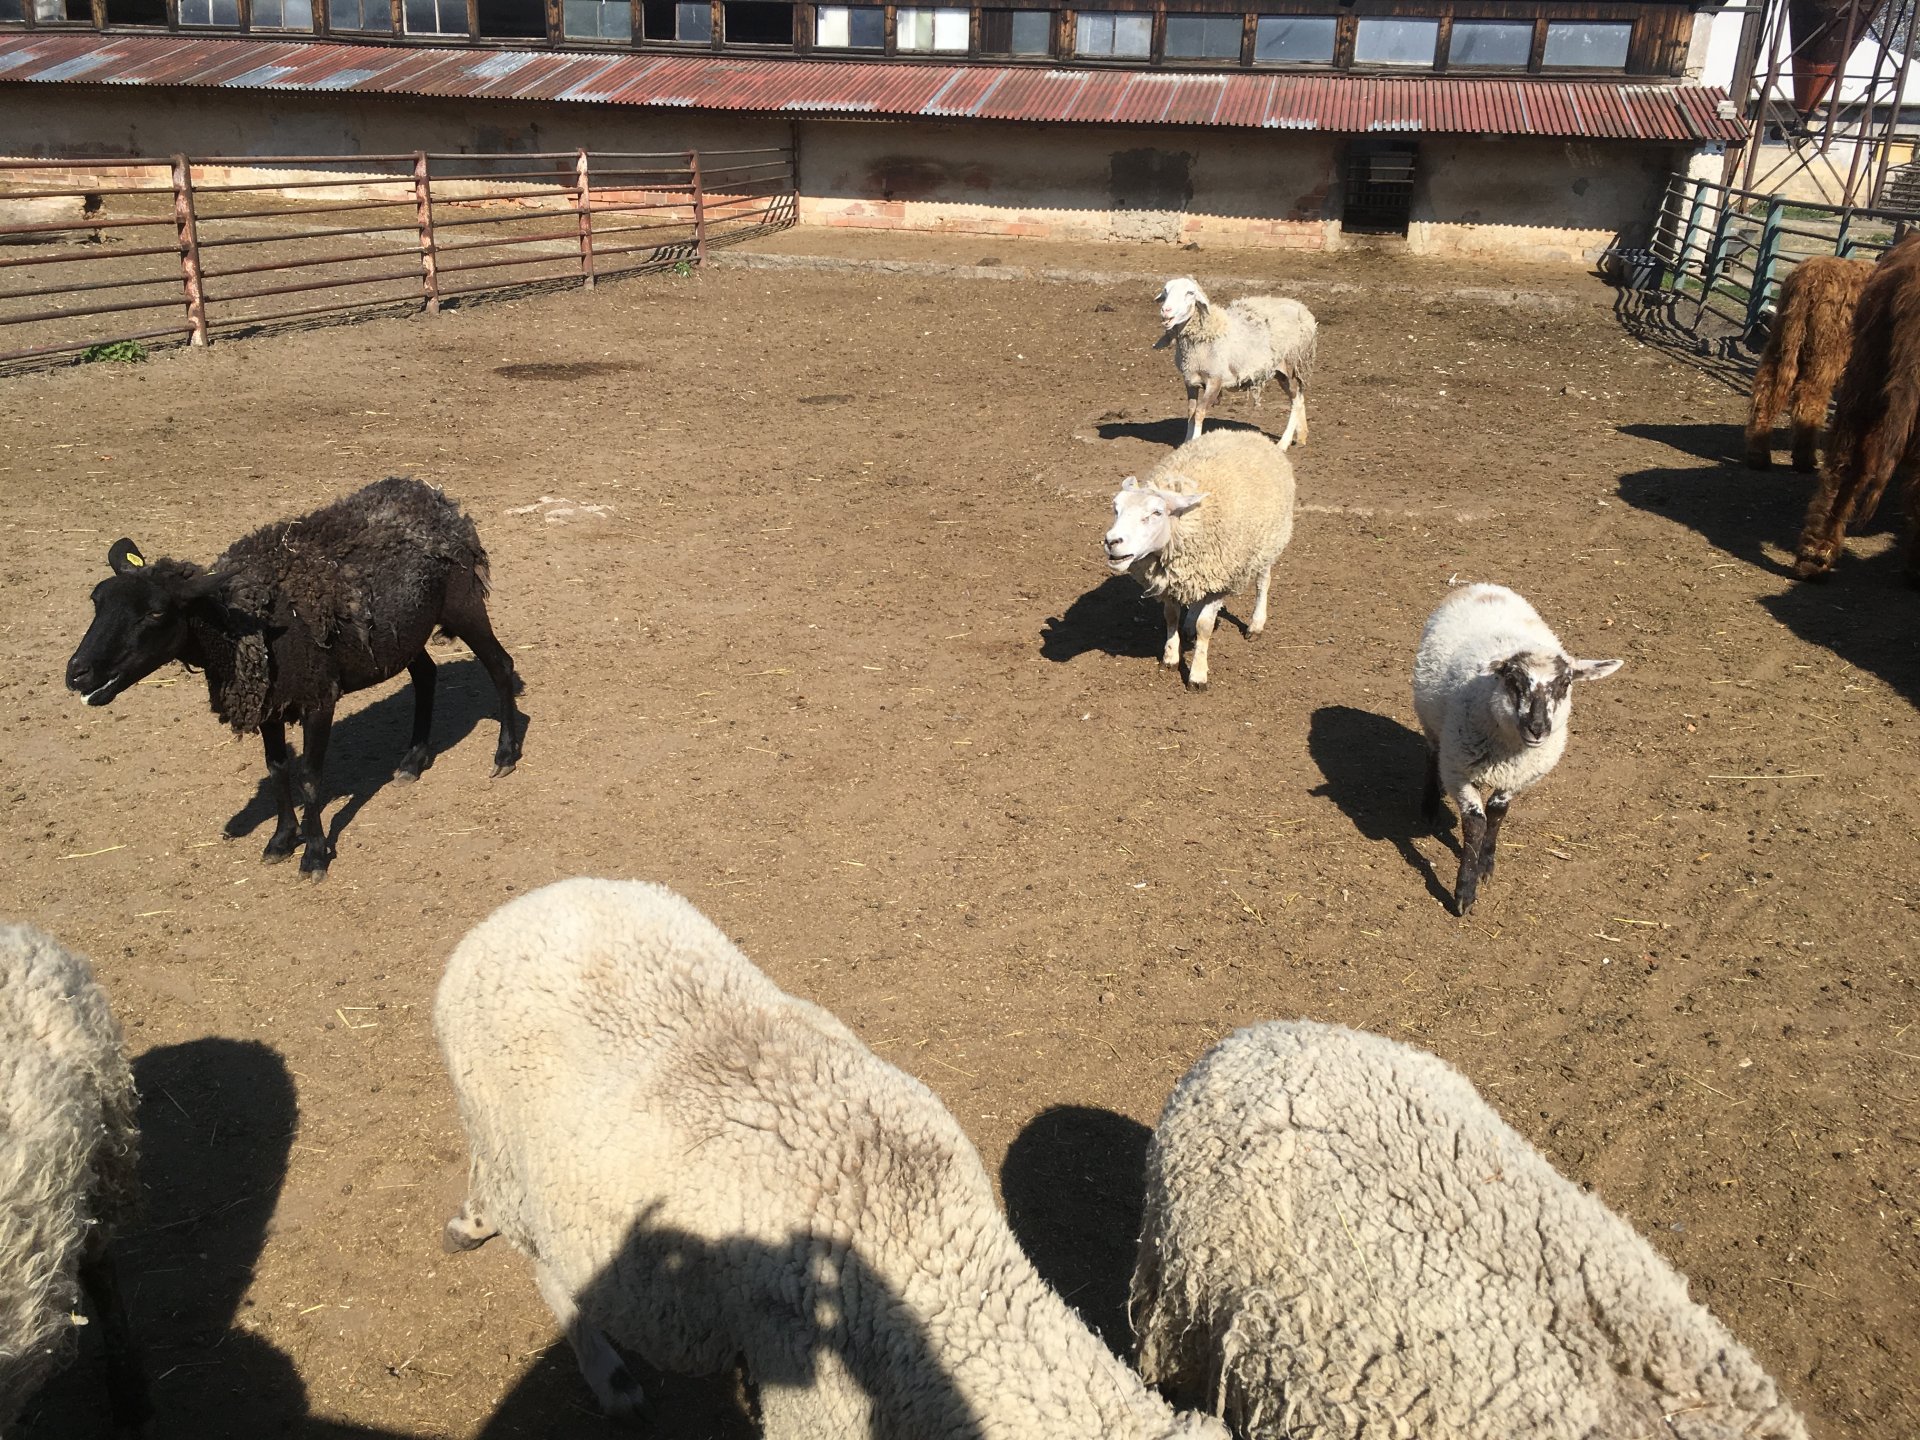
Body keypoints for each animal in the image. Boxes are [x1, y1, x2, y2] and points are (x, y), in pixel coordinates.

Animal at [65, 476, 527, 879]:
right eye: (96, 600)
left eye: (156, 613)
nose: (76, 673)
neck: (241, 625)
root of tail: (438, 499)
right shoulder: (271, 702)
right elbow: (276, 768)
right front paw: (281, 839)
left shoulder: (318, 697)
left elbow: (308, 776)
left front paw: (315, 854)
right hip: (403, 633)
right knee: (426, 675)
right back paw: (412, 761)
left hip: (463, 604)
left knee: (500, 666)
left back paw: (505, 755)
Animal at [1103, 430, 1296, 692]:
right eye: (1116, 509)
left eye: (1156, 513)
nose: (1111, 541)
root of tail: (1252, 435)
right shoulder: (1172, 580)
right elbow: (1171, 616)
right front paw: (1170, 658)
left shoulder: (1219, 581)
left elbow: (1205, 626)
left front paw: (1197, 674)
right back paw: (1189, 624)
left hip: (1267, 544)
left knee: (1262, 582)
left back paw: (1256, 624)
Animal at [1154, 277, 1317, 447]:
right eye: (1165, 291)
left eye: (1190, 292)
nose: (1166, 310)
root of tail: (1303, 308)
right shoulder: (1190, 380)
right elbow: (1191, 411)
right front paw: (1186, 443)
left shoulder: (1214, 380)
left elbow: (1199, 412)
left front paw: (1196, 441)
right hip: (1283, 371)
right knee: (1300, 397)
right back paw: (1302, 437)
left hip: (1290, 365)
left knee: (1296, 402)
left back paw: (1284, 443)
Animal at [1411, 583, 1620, 915]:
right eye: (1512, 680)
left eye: (1565, 684)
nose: (1538, 728)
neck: (1508, 751)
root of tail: (1482, 586)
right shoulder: (1458, 771)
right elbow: (1475, 824)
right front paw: (1464, 892)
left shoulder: (1519, 776)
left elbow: (1497, 814)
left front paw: (1485, 866)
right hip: (1430, 719)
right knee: (1432, 754)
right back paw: (1430, 805)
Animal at [1743, 254, 1874, 473]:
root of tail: (1811, 273)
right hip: (1826, 355)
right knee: (1809, 396)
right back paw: (1804, 460)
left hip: (1781, 341)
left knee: (1765, 389)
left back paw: (1758, 455)